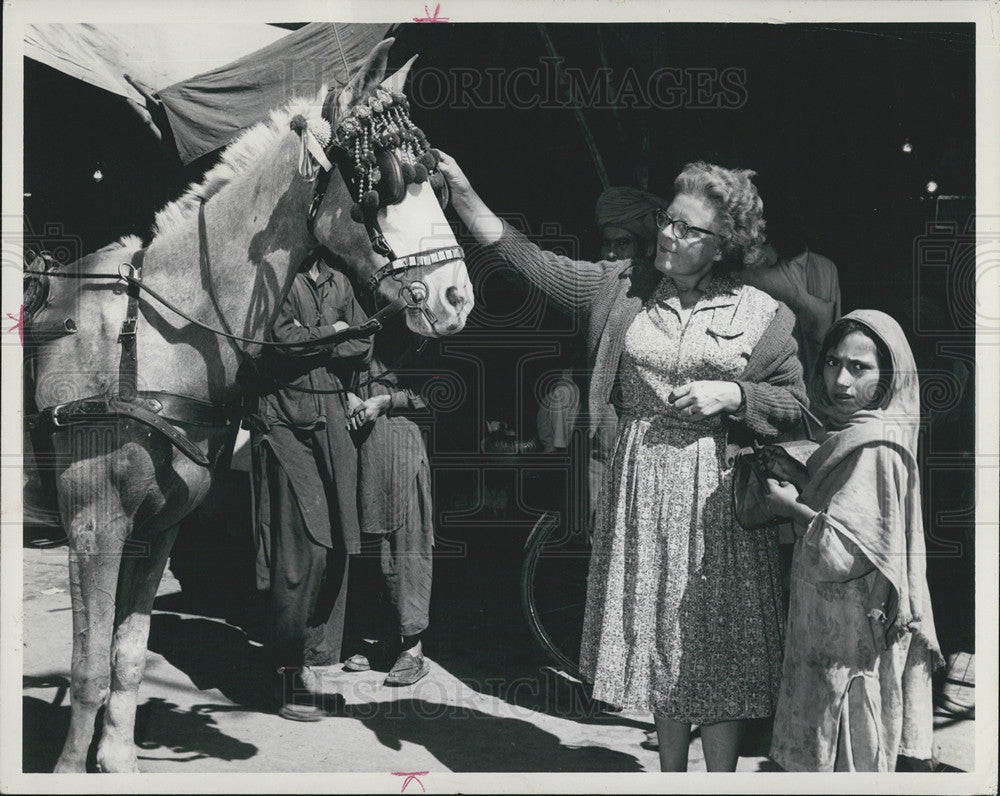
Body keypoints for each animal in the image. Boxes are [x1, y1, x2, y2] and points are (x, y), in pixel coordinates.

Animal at [26, 37, 472, 772]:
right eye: (383, 183)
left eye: (435, 180)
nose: (456, 297)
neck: (148, 339)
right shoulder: (94, 524)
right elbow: (89, 669)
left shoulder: (158, 528)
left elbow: (128, 654)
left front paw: (117, 759)